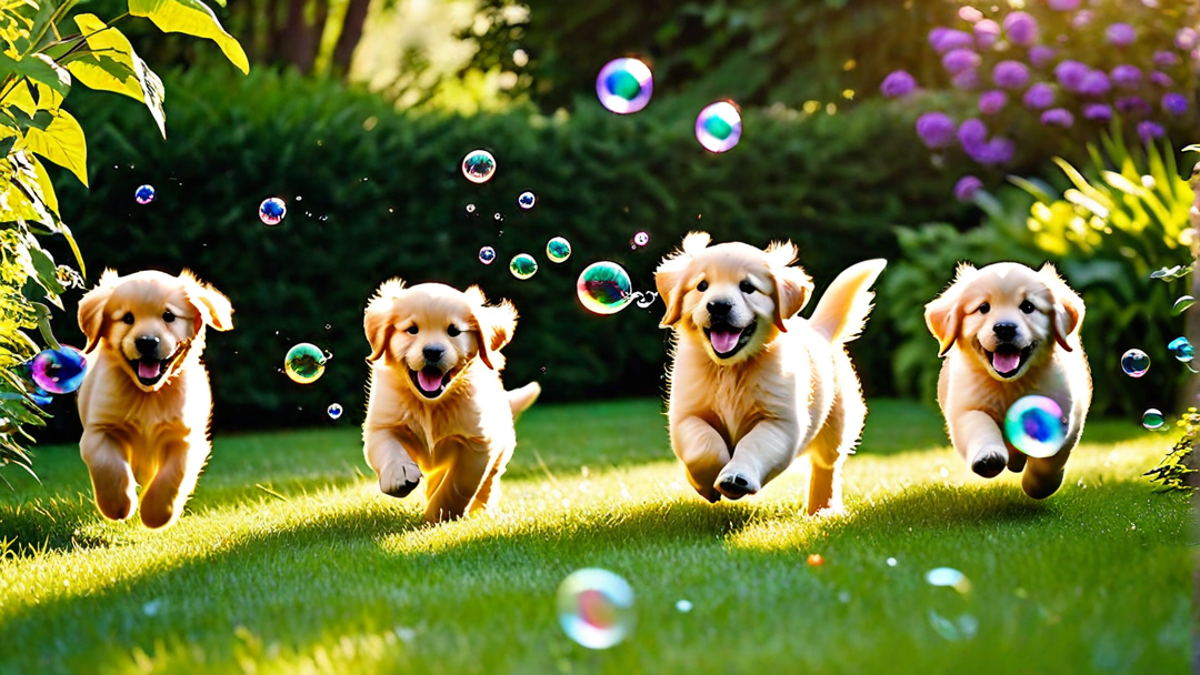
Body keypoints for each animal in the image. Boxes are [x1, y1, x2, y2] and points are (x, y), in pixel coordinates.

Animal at [77, 267, 234, 526]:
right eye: (127, 318)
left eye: (168, 316)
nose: (147, 342)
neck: (148, 395)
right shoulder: (99, 430)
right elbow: (108, 466)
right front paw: (117, 505)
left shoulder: (185, 437)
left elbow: (173, 475)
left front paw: (156, 513)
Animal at [360, 277, 540, 521]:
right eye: (412, 330)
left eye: (453, 331)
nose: (433, 351)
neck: (429, 404)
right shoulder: (382, 424)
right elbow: (389, 449)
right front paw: (399, 474)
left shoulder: (478, 444)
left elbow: (459, 484)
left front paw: (439, 513)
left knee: (488, 484)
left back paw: (481, 509)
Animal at [652, 230, 888, 509]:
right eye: (702, 286)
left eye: (747, 287)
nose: (718, 305)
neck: (732, 368)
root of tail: (819, 329)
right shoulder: (687, 414)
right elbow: (704, 447)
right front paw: (705, 481)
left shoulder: (780, 422)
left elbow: (753, 444)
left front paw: (735, 477)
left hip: (838, 424)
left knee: (826, 466)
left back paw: (822, 509)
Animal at [921, 260, 1094, 497]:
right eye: (983, 308)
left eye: (1028, 307)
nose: (1005, 328)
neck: (1009, 384)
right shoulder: (966, 408)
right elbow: (980, 425)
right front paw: (989, 457)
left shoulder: (1062, 413)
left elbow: (1048, 458)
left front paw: (1038, 487)